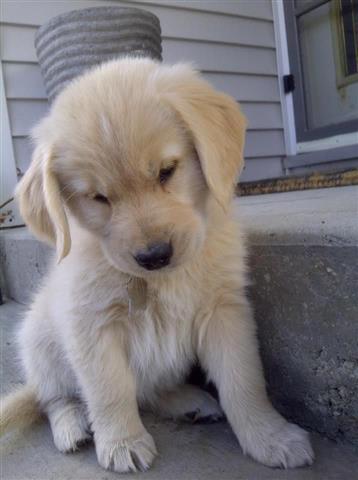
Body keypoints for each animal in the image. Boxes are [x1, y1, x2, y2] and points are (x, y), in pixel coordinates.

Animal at [0, 57, 314, 472]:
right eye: (98, 197)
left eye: (167, 170)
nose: (155, 255)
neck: (161, 280)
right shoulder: (90, 326)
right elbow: (110, 389)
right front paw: (122, 441)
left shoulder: (224, 310)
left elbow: (243, 379)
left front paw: (269, 435)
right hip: (38, 342)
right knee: (54, 397)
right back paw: (72, 425)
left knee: (149, 391)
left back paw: (188, 401)